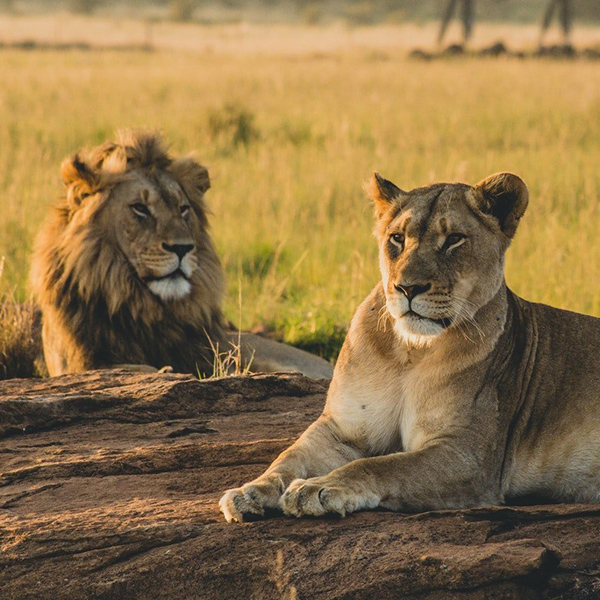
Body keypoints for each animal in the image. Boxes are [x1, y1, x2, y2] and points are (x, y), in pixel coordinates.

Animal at [219, 171, 600, 524]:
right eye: (397, 239)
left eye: (454, 240)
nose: (408, 288)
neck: (411, 352)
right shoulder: (342, 428)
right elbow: (289, 457)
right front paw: (251, 491)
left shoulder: (468, 455)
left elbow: (383, 465)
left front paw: (318, 488)